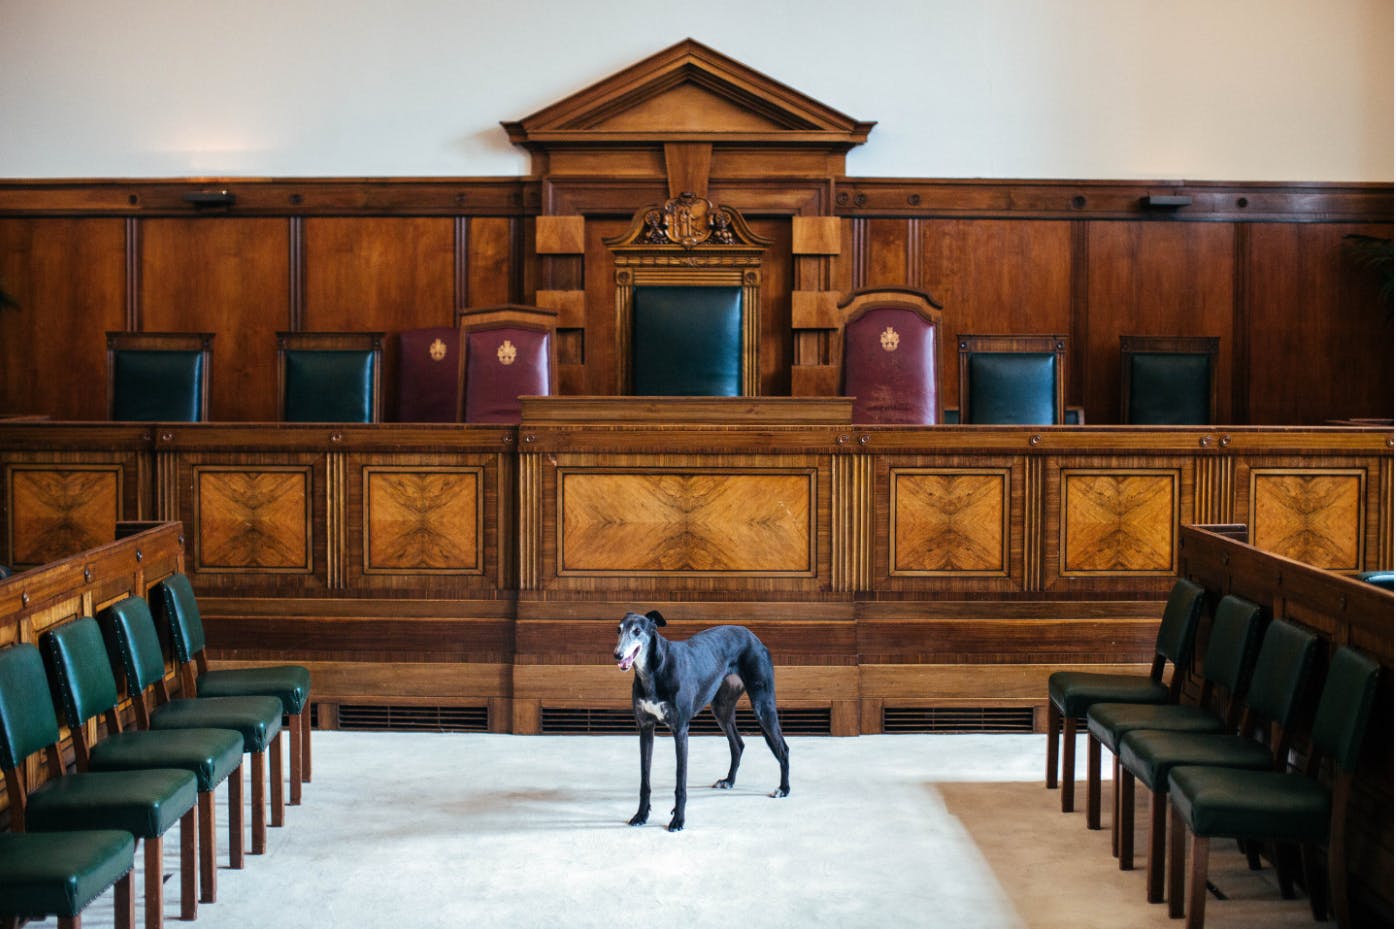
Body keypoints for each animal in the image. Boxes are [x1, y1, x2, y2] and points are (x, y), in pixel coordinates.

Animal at [611, 609, 787, 832]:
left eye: (637, 631)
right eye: (619, 630)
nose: (617, 654)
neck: (656, 670)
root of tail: (753, 637)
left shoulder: (680, 730)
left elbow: (680, 782)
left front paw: (678, 820)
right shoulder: (645, 728)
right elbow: (645, 780)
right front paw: (641, 815)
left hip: (763, 705)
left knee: (783, 748)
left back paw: (784, 788)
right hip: (721, 709)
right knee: (738, 744)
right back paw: (729, 780)